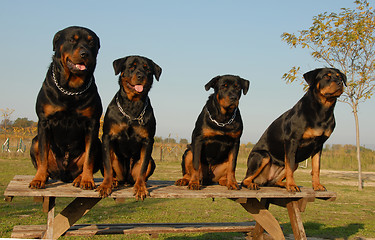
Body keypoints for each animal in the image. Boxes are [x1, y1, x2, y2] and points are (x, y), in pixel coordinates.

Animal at [29, 26, 102, 190]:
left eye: (91, 42)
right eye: (71, 40)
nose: (85, 53)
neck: (71, 89)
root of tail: (64, 175)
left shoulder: (92, 124)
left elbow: (89, 157)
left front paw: (87, 180)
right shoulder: (44, 122)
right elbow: (42, 155)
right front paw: (38, 179)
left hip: (99, 143)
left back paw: (79, 178)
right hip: (34, 141)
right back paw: (45, 176)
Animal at [97, 55, 162, 199]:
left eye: (147, 69)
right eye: (131, 67)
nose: (140, 76)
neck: (132, 105)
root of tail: (126, 179)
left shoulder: (148, 140)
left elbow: (143, 167)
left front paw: (141, 188)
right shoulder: (107, 137)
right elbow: (108, 166)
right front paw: (105, 186)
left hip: (152, 162)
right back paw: (114, 181)